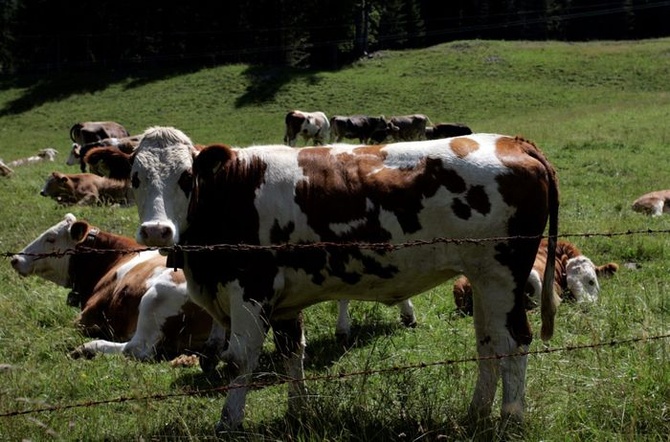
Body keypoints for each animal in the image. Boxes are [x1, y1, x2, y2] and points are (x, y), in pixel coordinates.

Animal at [9, 214, 214, 362]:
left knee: (136, 349)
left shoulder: (87, 315)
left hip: (155, 297)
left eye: (50, 238)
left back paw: (89, 347)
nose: (16, 259)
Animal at [130, 126, 560, 434]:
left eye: (186, 176)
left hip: (503, 274)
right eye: (135, 178)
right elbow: (292, 354)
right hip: (485, 280)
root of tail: (512, 141)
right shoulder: (284, 301)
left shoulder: (251, 290)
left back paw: (510, 418)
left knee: (513, 342)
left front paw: (228, 422)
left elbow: (239, 361)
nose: (156, 231)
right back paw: (477, 413)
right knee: (489, 344)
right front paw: (298, 414)